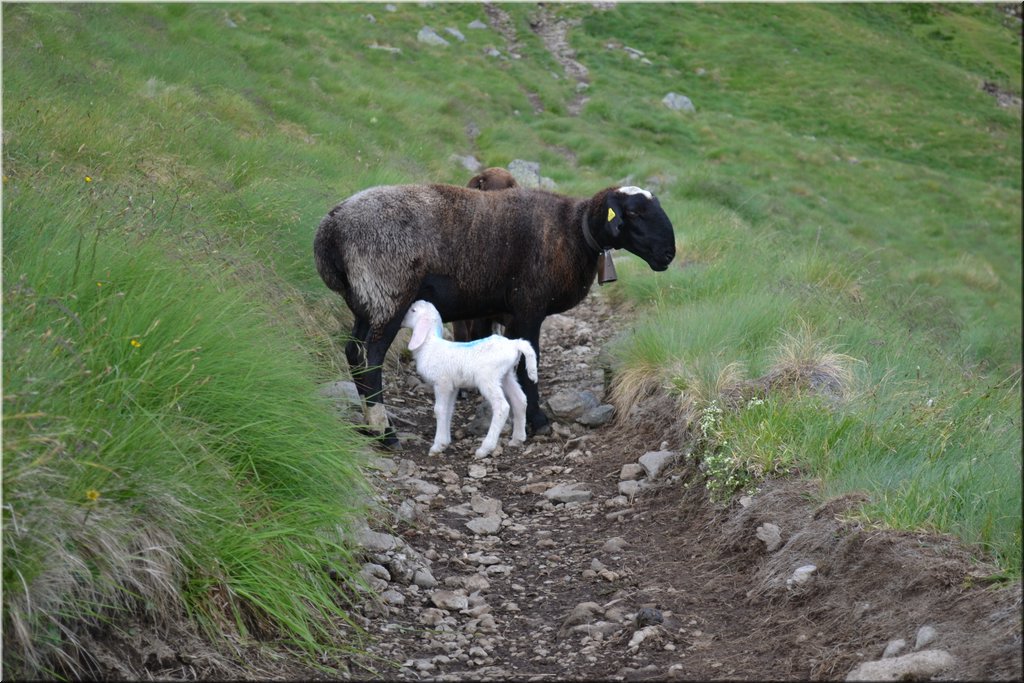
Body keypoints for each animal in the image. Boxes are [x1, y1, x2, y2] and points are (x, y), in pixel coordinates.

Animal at [401, 301, 540, 456]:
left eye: (413, 310)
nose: (401, 321)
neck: (429, 344)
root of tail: (514, 344)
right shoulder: (453, 387)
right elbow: (449, 409)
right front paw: (445, 442)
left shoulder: (442, 383)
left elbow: (440, 410)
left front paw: (437, 446)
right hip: (506, 375)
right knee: (520, 400)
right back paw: (517, 439)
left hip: (488, 378)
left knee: (502, 407)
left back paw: (485, 448)